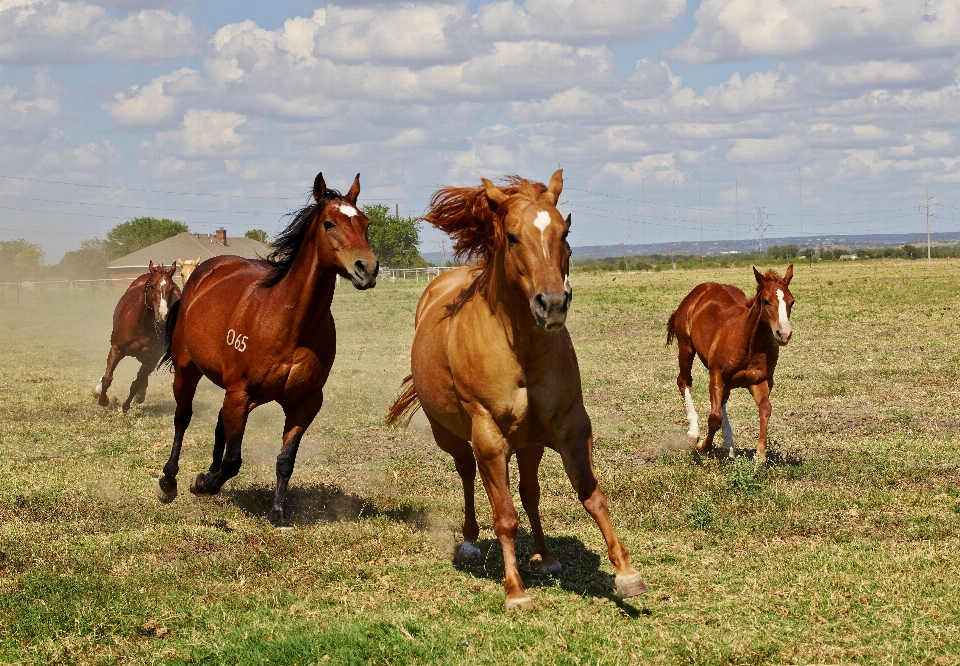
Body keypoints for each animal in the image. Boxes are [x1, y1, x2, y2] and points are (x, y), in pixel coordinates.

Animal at [96, 260, 182, 412]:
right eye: (152, 286)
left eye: (171, 288)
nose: (163, 314)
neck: (141, 326)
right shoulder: (116, 349)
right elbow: (107, 378)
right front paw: (103, 400)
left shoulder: (153, 357)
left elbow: (136, 382)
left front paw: (124, 407)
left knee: (143, 376)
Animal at [157, 171, 378, 524]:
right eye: (329, 223)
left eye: (366, 223)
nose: (366, 268)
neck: (289, 324)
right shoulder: (240, 393)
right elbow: (233, 461)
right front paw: (203, 484)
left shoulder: (305, 402)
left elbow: (285, 460)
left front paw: (277, 514)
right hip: (188, 371)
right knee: (182, 418)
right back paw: (169, 481)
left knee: (219, 425)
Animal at [386, 170, 648, 608]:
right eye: (511, 236)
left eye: (564, 232)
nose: (553, 303)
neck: (520, 347)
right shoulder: (489, 436)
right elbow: (505, 516)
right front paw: (515, 590)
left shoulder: (569, 425)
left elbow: (591, 496)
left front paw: (627, 574)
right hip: (453, 436)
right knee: (468, 474)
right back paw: (471, 542)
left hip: (529, 443)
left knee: (529, 492)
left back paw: (545, 556)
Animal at [668, 264, 796, 462]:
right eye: (766, 301)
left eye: (792, 302)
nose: (783, 334)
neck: (749, 343)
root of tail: (701, 289)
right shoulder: (716, 374)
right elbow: (714, 417)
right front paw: (703, 446)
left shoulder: (760, 381)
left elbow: (766, 408)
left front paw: (760, 455)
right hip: (686, 347)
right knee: (684, 381)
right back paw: (693, 433)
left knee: (723, 400)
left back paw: (729, 445)